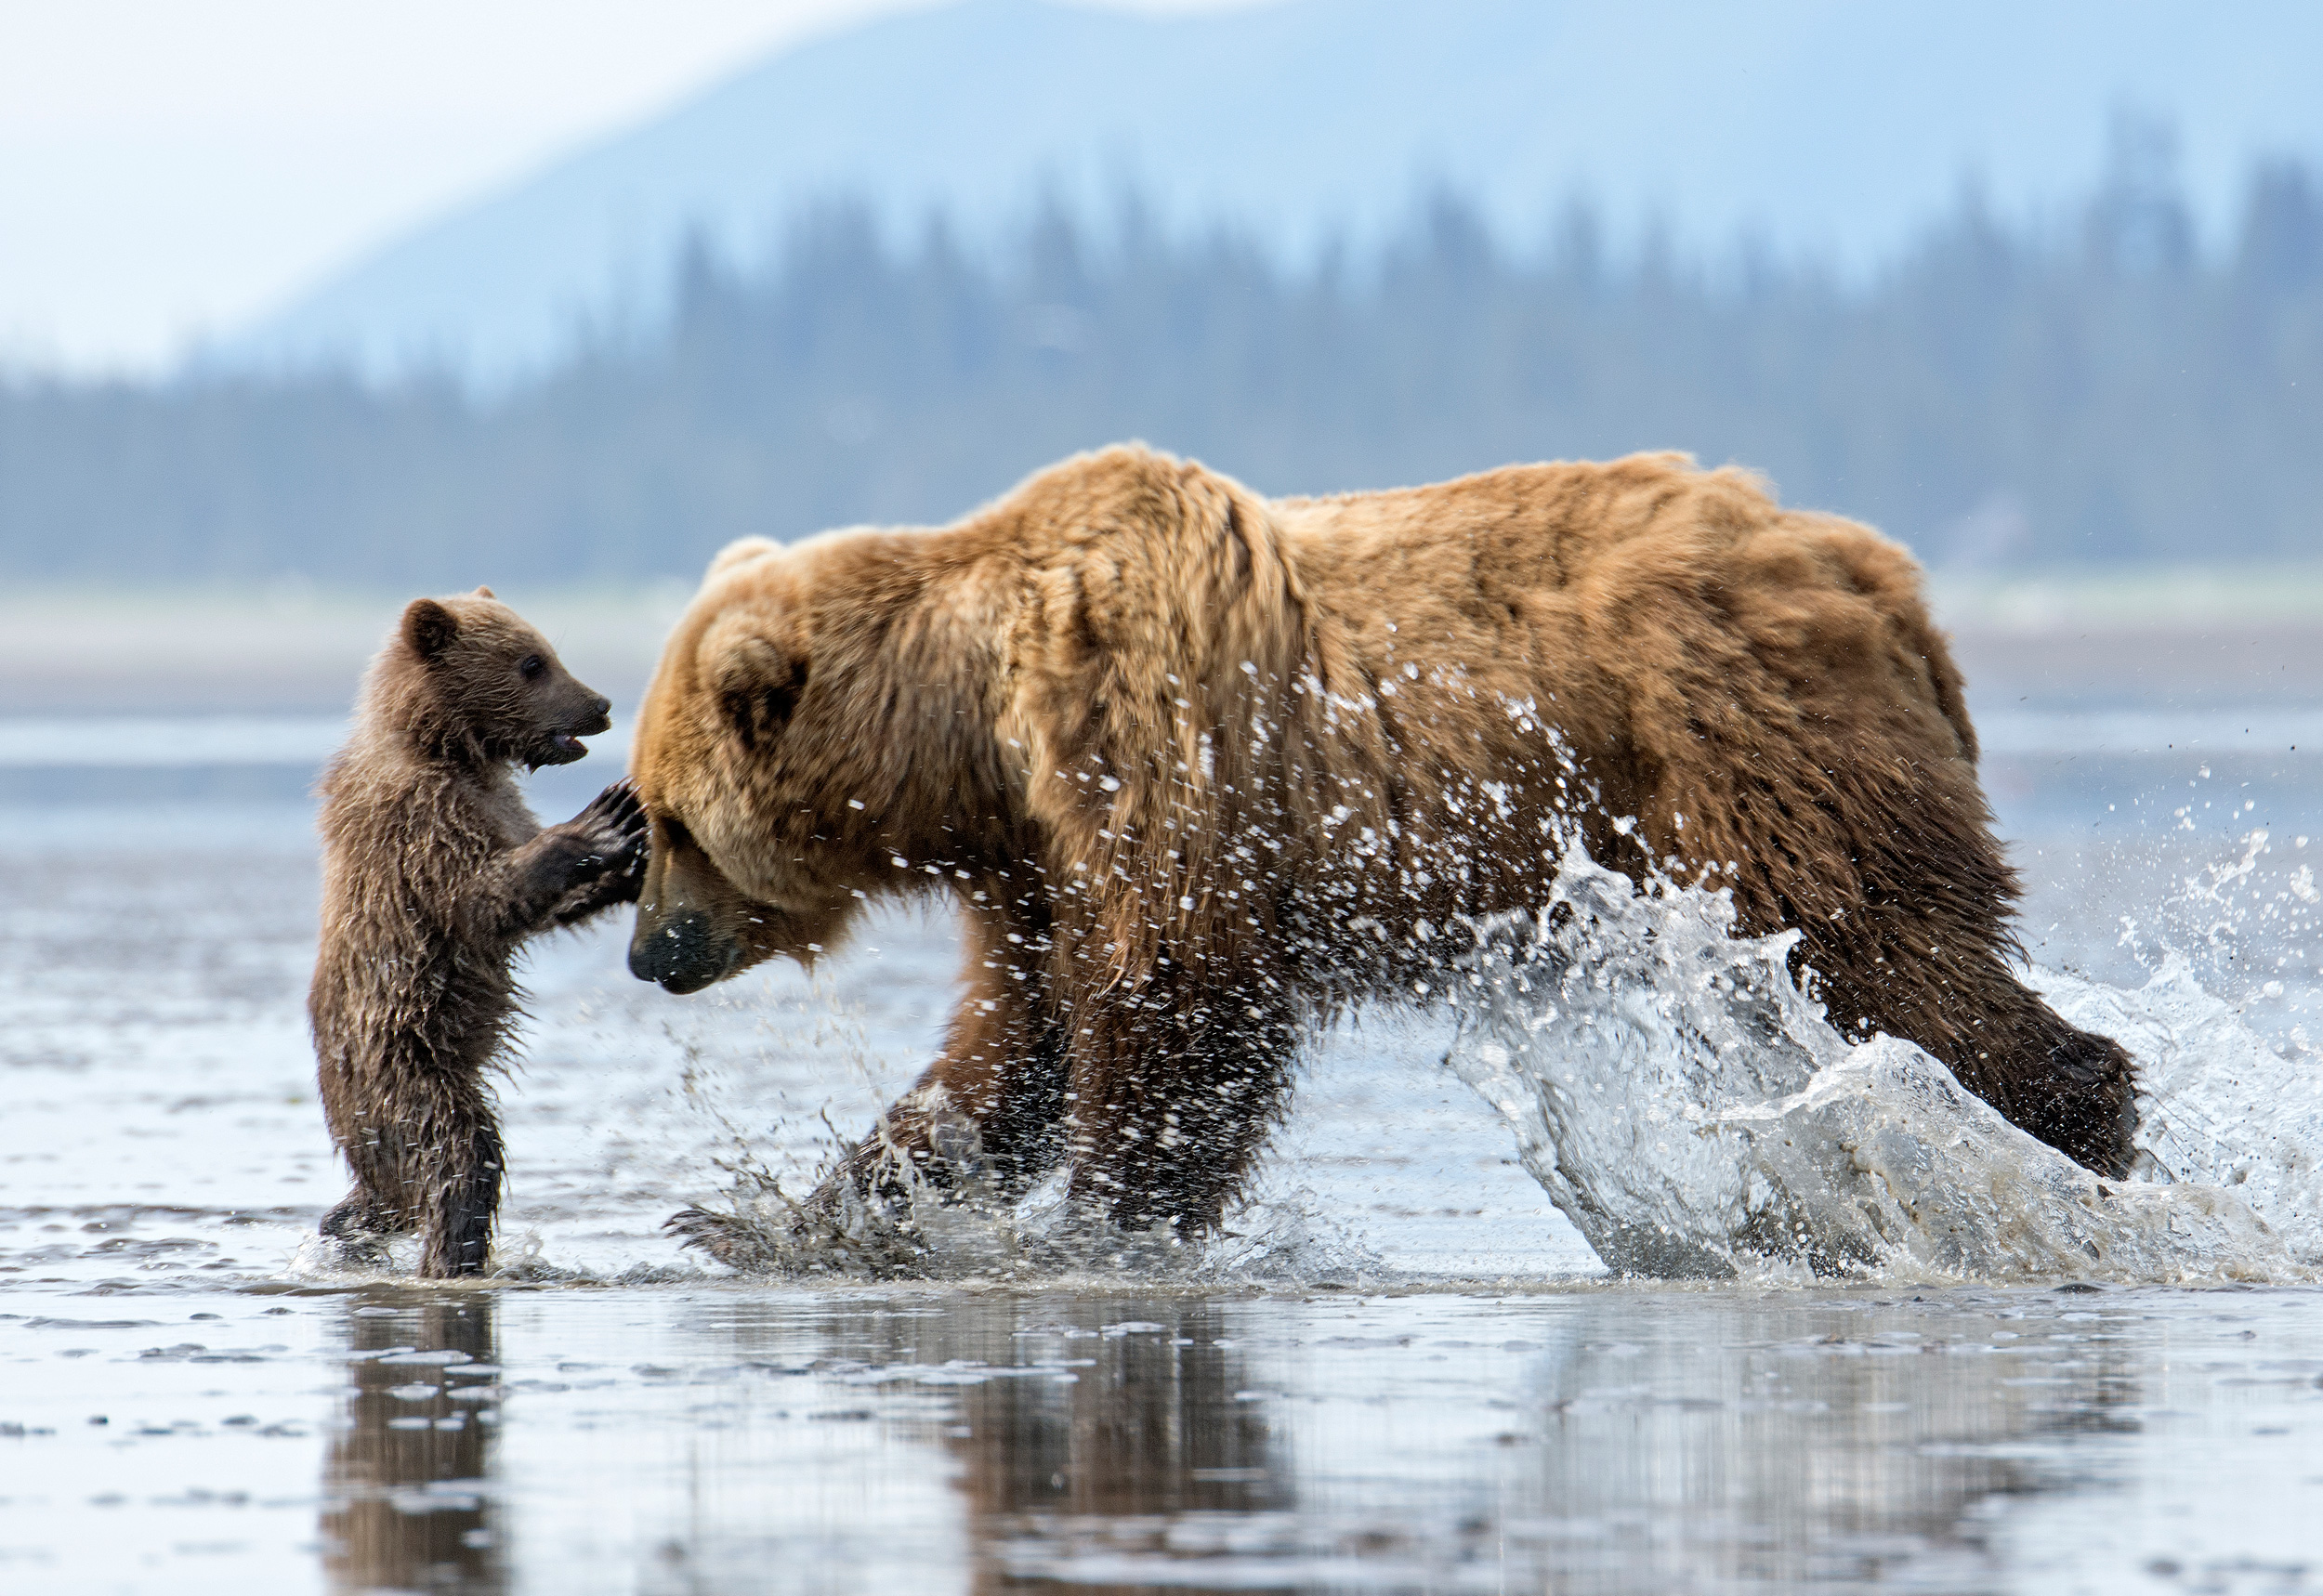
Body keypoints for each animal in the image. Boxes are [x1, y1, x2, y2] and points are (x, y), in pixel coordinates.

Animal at [627, 446, 2128, 1236]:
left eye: (664, 822)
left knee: (1882, 947)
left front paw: (1113, 1212)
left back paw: (2084, 1117)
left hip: (1742, 753)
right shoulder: (1038, 863)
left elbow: (1179, 1012)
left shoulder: (1155, 755)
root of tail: (1882, 578)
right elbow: (1013, 1052)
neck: (974, 736)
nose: (650, 953)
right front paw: (789, 1214)